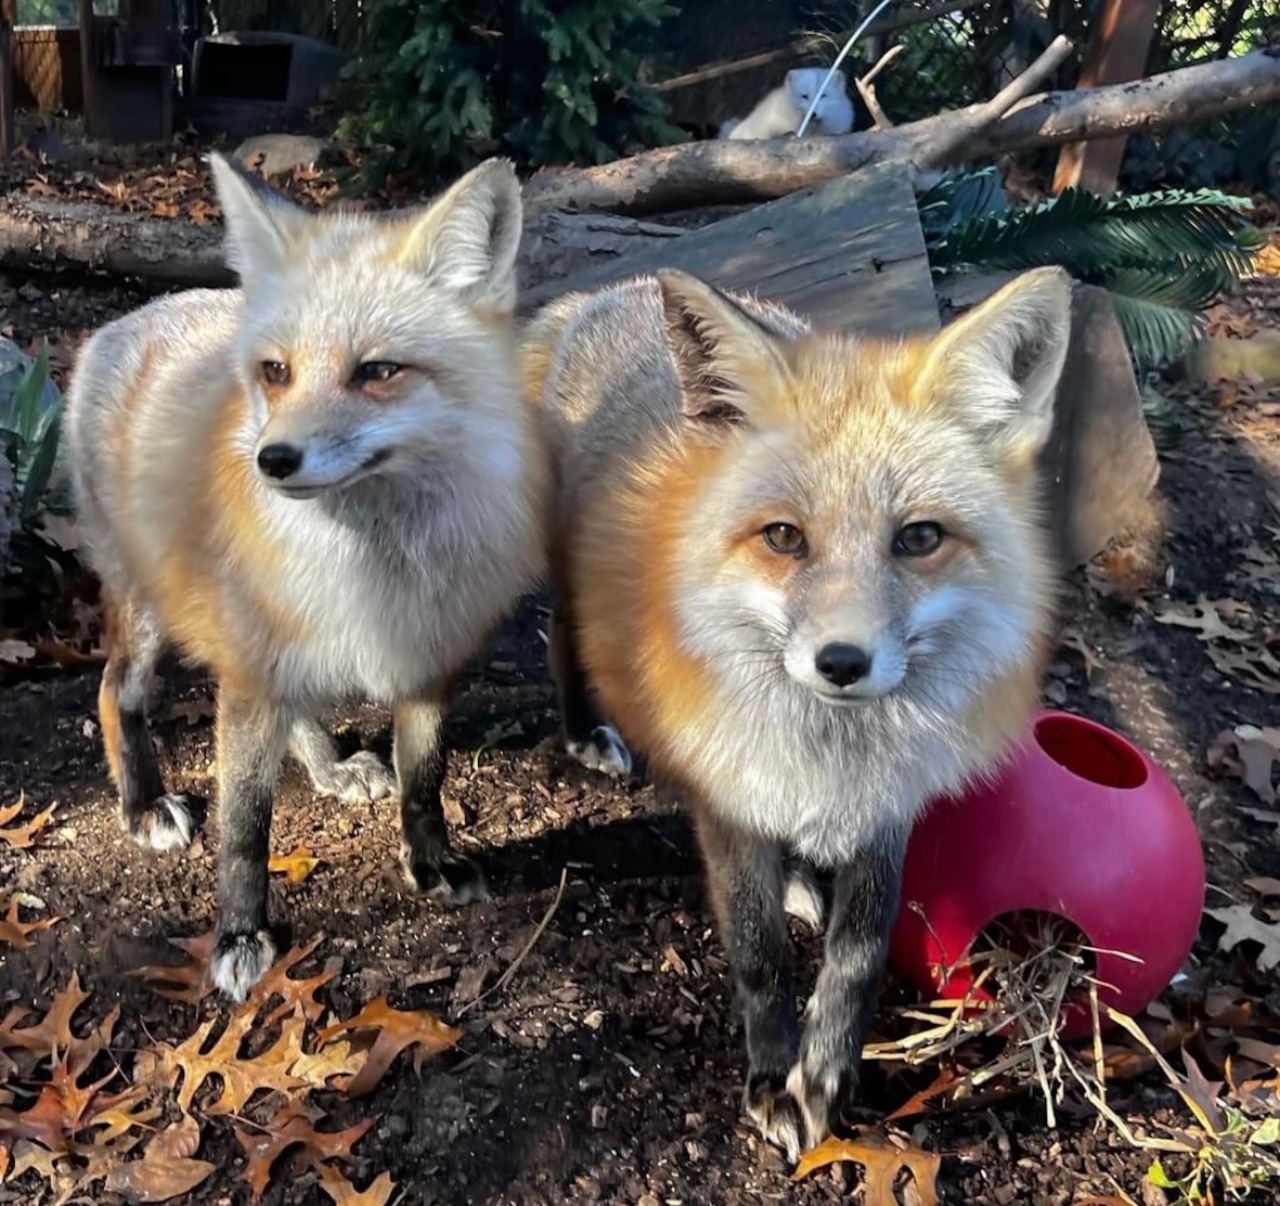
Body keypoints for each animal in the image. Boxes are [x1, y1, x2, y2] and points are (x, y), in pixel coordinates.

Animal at [64, 155, 547, 1001]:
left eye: (379, 372)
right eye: (276, 372)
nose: (273, 459)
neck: (374, 569)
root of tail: (128, 320)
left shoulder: (428, 654)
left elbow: (425, 776)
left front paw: (430, 861)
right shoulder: (252, 675)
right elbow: (245, 828)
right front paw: (240, 934)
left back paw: (330, 767)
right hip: (153, 614)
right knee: (112, 692)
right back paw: (144, 803)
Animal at [523, 265, 1071, 1159]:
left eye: (919, 538)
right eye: (784, 537)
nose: (842, 663)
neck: (830, 755)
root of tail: (612, 291)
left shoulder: (888, 808)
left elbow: (857, 953)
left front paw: (829, 1073)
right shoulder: (728, 799)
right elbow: (758, 953)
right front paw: (773, 1078)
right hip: (571, 584)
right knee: (561, 639)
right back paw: (583, 732)